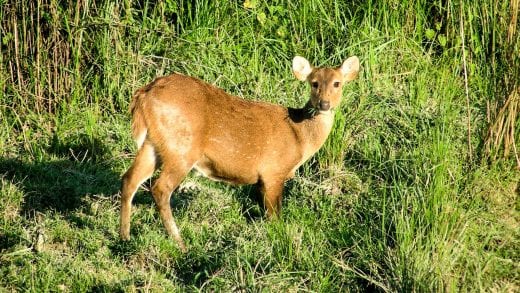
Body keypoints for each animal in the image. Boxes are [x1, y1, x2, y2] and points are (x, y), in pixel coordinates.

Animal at [120, 54, 360, 249]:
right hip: (182, 148)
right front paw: (278, 240)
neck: (299, 136)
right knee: (160, 188)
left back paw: (125, 237)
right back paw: (180, 243)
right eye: (314, 83)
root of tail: (143, 94)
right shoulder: (273, 171)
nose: (324, 104)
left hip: (154, 144)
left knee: (129, 179)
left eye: (337, 83)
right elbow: (274, 216)